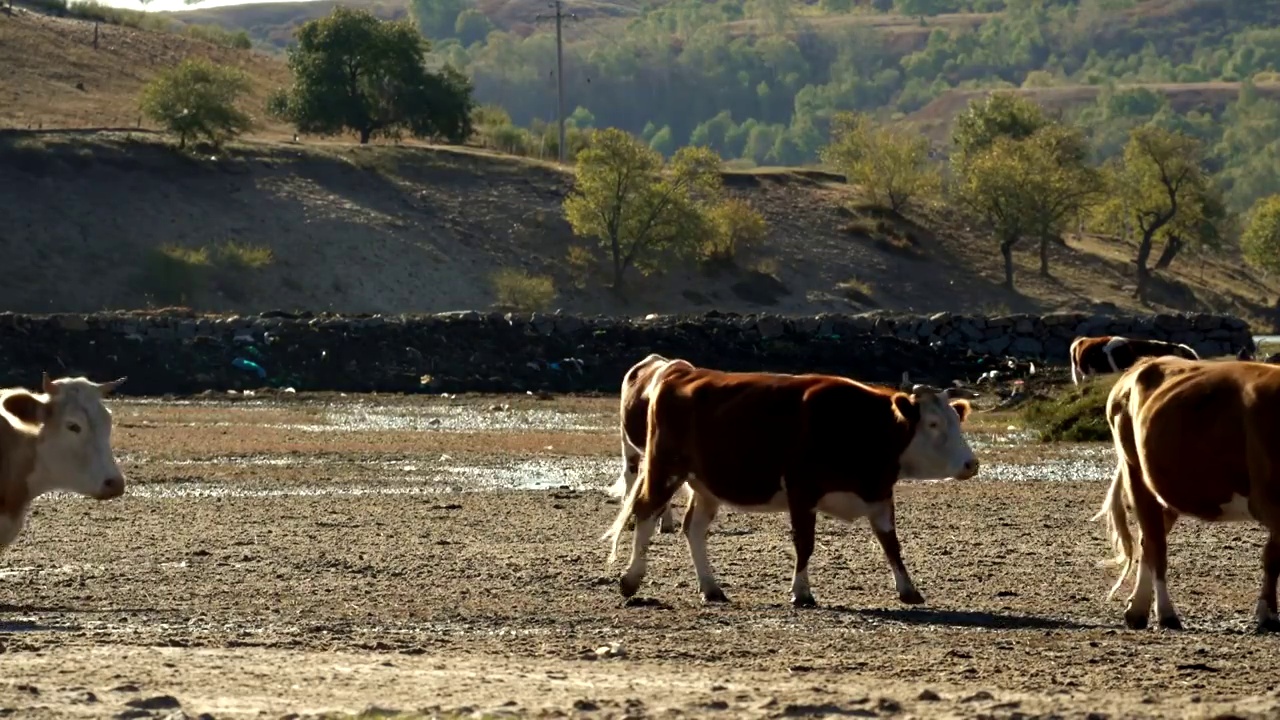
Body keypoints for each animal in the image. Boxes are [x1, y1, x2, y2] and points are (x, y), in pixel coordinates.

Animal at [1095, 353, 1280, 627]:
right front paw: (1267, 614)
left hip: (1165, 489)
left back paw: (1137, 610)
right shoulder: (1268, 499)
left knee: (1146, 541)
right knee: (1155, 545)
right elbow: (1273, 558)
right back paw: (1165, 613)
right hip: (1135, 473)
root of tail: (1144, 362)